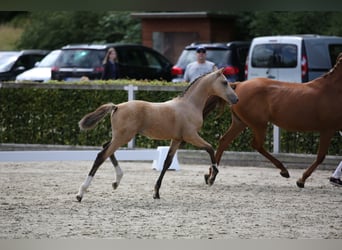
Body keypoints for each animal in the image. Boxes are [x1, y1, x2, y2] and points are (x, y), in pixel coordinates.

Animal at [76, 68, 239, 201]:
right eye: (225, 82)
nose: (236, 99)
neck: (189, 105)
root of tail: (116, 107)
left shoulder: (177, 139)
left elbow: (167, 163)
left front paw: (156, 193)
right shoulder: (191, 136)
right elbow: (210, 148)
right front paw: (212, 176)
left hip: (120, 137)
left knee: (106, 149)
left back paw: (116, 181)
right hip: (123, 137)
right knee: (101, 155)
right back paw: (80, 193)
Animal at [207, 53, 342, 188]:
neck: (332, 90)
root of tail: (239, 85)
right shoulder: (327, 129)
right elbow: (321, 156)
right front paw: (301, 180)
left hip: (240, 123)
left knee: (224, 141)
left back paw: (211, 176)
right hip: (259, 124)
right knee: (256, 144)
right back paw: (284, 170)